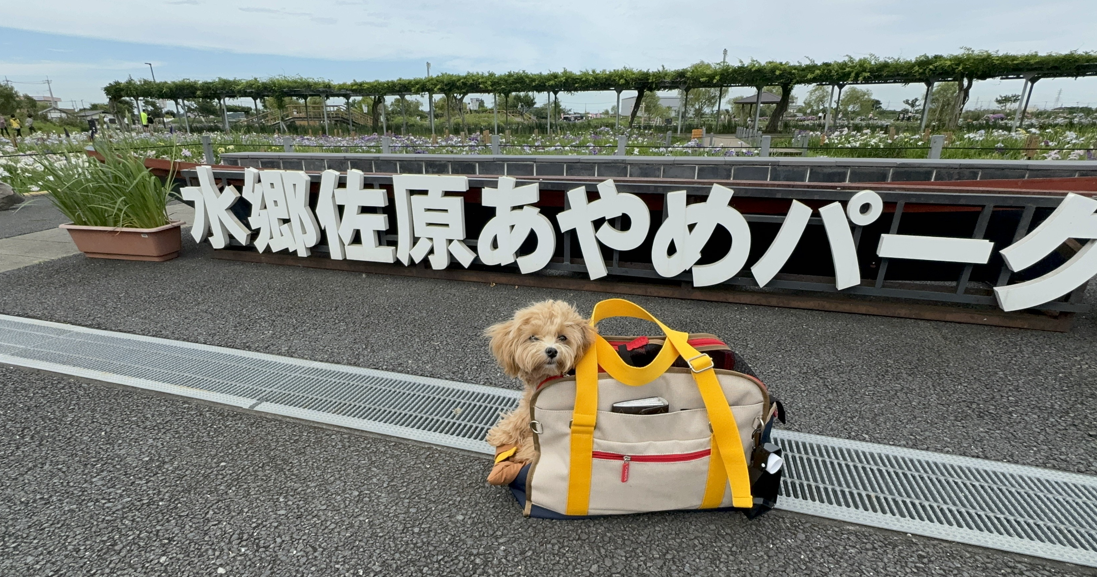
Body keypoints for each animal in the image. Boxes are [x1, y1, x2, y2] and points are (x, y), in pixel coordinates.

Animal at [484, 300, 596, 487]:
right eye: (533, 337)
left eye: (562, 337)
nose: (552, 351)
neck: (548, 376)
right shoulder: (532, 399)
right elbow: (521, 416)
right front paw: (502, 434)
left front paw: (525, 453)